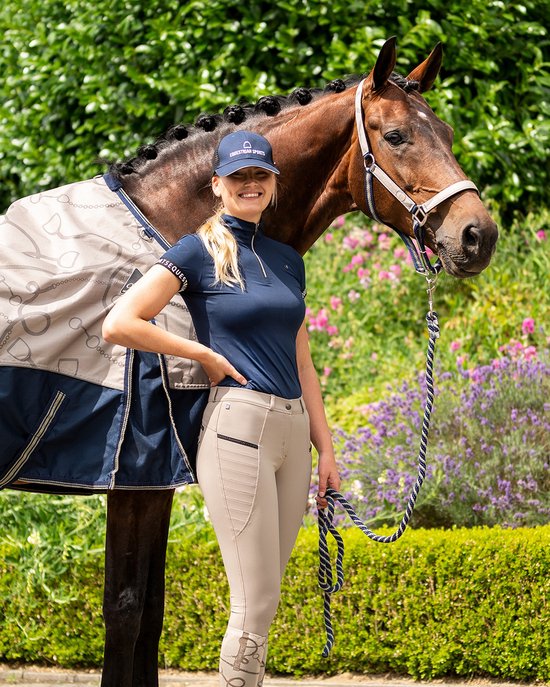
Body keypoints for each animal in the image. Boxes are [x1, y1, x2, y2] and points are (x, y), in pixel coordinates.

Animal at [0, 38, 497, 687]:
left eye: (448, 132)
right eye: (395, 136)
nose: (478, 236)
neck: (166, 231)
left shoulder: (158, 479)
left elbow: (152, 609)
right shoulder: (136, 475)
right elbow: (127, 609)